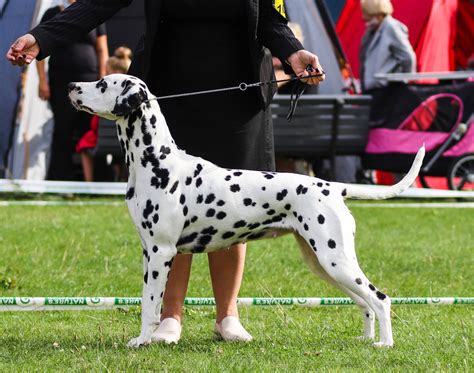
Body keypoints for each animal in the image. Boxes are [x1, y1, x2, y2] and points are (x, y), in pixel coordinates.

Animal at [67, 74, 426, 348]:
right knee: (365, 302)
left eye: (102, 83)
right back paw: (366, 339)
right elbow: (149, 301)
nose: (71, 85)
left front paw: (143, 341)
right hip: (325, 264)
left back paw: (385, 344)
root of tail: (332, 186)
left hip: (335, 260)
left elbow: (149, 305)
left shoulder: (161, 252)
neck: (156, 161)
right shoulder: (149, 252)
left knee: (380, 298)